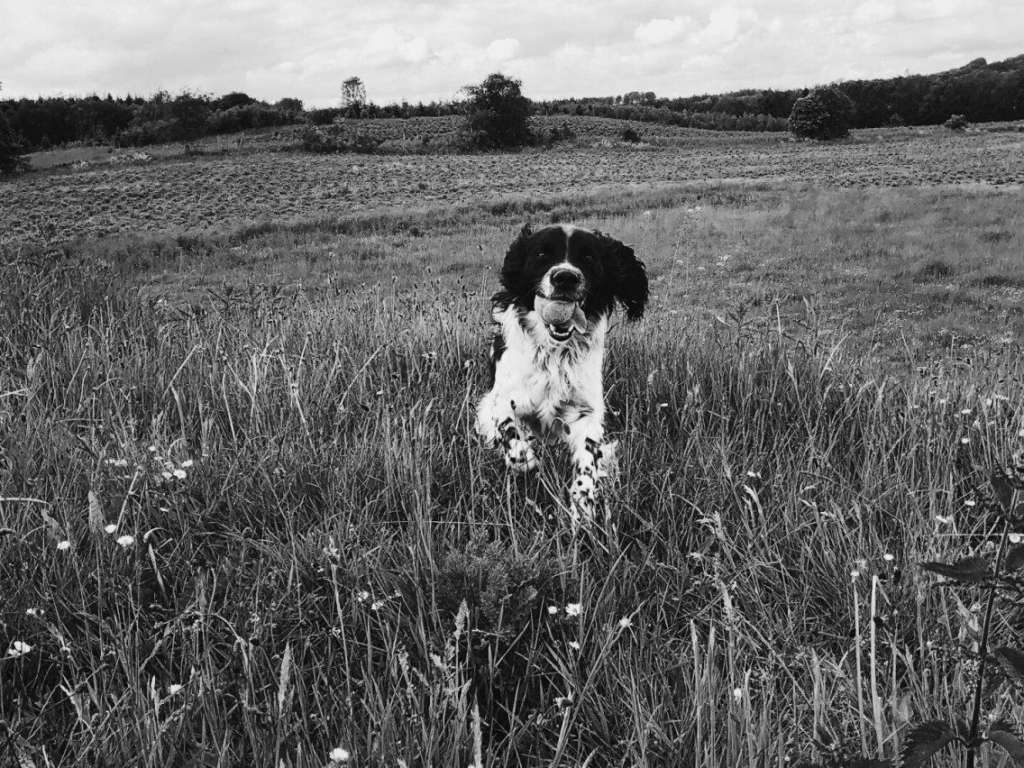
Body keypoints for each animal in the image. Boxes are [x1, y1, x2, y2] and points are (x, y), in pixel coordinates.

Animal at [475, 224, 649, 522]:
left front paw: (583, 503)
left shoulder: (585, 413)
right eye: (541, 254)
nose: (565, 278)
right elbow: (509, 430)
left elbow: (588, 461)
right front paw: (524, 458)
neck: (554, 353)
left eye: (588, 257)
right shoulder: (501, 400)